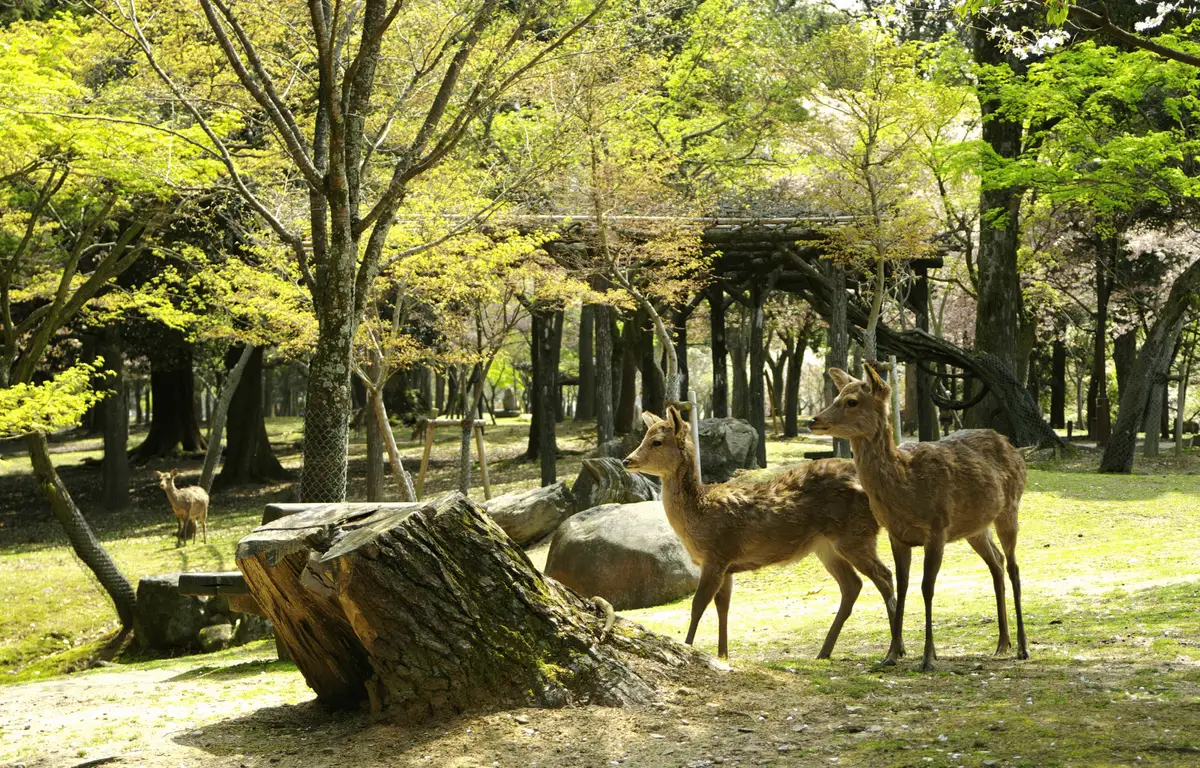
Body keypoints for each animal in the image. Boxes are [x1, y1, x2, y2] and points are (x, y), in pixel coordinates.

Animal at [623, 407, 902, 661]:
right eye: (645, 436)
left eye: (657, 441)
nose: (627, 461)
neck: (697, 515)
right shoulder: (727, 565)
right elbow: (723, 607)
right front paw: (723, 654)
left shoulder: (716, 553)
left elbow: (698, 605)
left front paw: (689, 646)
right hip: (826, 546)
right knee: (853, 585)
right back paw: (825, 652)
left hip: (855, 534)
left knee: (884, 576)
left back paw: (894, 651)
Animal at [809, 366, 1029, 671]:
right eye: (837, 396)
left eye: (851, 401)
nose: (813, 420)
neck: (907, 487)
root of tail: (1015, 449)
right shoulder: (896, 534)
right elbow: (901, 587)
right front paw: (890, 655)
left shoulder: (937, 528)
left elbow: (927, 587)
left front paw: (927, 657)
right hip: (975, 527)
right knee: (996, 562)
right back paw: (1001, 644)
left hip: (1010, 509)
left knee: (1014, 567)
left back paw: (1022, 647)